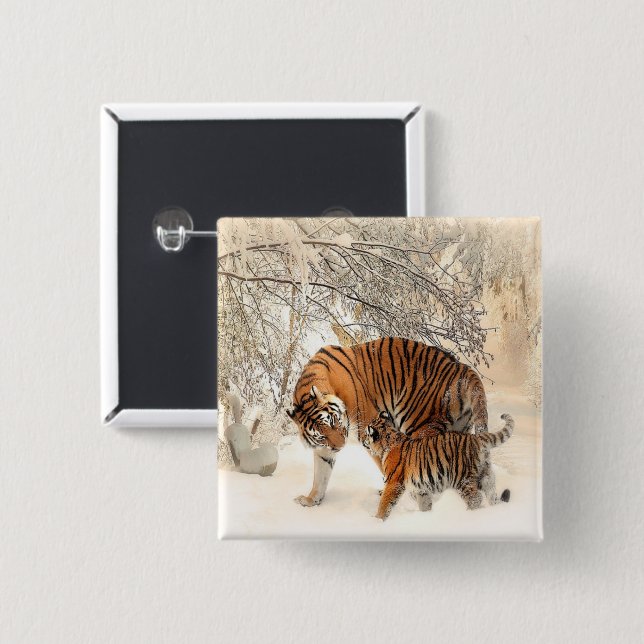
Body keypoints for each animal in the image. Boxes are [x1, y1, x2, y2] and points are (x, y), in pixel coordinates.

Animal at [286, 336, 489, 507]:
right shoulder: (324, 448)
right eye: (321, 436)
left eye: (334, 422)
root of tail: (462, 368)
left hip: (420, 425)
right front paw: (311, 500)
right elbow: (320, 474)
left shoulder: (369, 430)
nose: (340, 447)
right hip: (458, 430)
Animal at [359, 410, 514, 520]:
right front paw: (426, 516)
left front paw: (377, 520)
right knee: (491, 495)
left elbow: (385, 503)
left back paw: (468, 514)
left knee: (476, 499)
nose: (363, 441)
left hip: (462, 479)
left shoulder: (393, 482)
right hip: (486, 476)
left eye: (367, 434)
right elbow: (424, 503)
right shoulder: (420, 488)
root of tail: (476, 438)